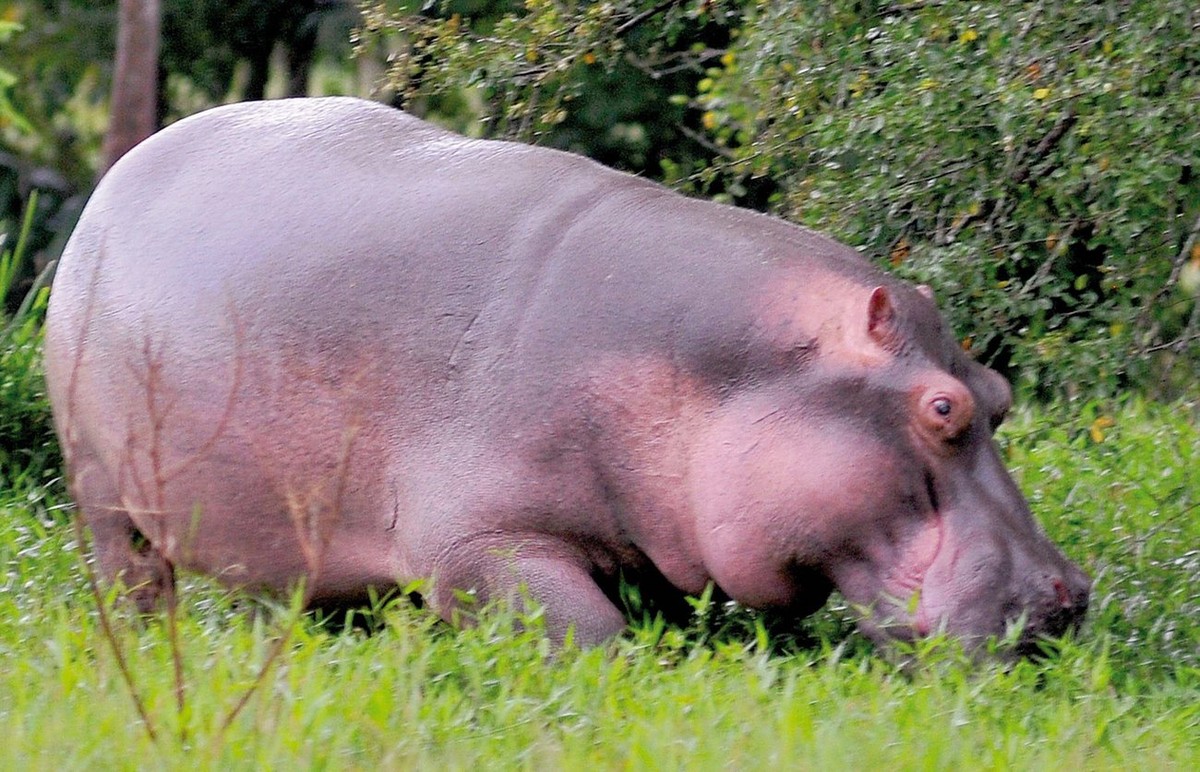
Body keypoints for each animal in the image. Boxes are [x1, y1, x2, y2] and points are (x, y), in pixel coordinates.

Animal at [44, 97, 1089, 653]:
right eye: (942, 408)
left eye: (1000, 396)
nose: (1067, 597)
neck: (727, 368)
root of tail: (124, 169)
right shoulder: (484, 542)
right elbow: (593, 636)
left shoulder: (654, 537)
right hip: (101, 490)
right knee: (130, 574)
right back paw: (149, 640)